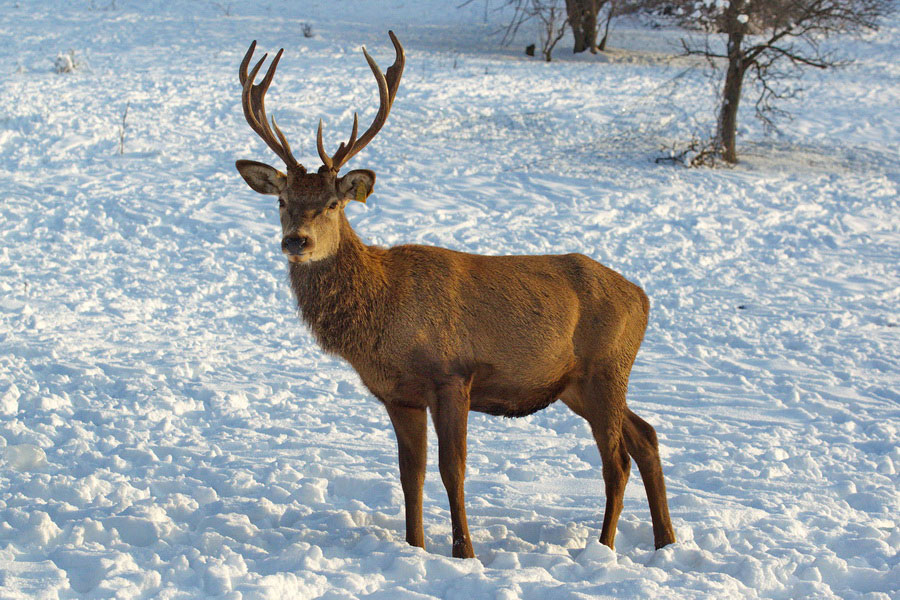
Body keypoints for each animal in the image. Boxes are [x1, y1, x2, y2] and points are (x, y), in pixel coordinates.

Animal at [232, 31, 676, 556]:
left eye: (333, 203)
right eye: (282, 201)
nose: (296, 241)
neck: (383, 316)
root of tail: (642, 298)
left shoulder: (452, 374)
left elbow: (453, 470)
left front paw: (464, 551)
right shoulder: (399, 395)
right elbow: (411, 474)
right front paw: (415, 546)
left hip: (607, 367)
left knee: (616, 461)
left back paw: (605, 547)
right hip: (579, 383)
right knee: (646, 436)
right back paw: (666, 541)